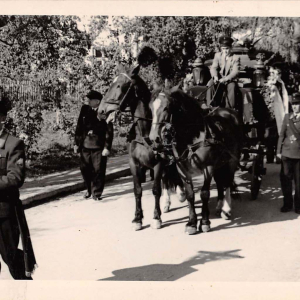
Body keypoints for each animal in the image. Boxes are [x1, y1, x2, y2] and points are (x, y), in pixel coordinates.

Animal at [97, 64, 185, 231]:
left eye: (119, 86)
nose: (100, 111)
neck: (144, 132)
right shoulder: (134, 164)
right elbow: (137, 190)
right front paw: (137, 218)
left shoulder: (158, 163)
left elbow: (156, 189)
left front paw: (156, 218)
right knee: (167, 178)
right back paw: (167, 202)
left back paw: (180, 193)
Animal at [149, 89, 243, 234]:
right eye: (150, 108)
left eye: (166, 107)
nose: (154, 138)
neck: (191, 138)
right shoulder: (182, 169)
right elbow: (190, 195)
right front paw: (192, 223)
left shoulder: (208, 167)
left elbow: (204, 193)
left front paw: (204, 222)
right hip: (219, 163)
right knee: (220, 182)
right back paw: (219, 206)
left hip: (232, 160)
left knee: (227, 181)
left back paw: (226, 209)